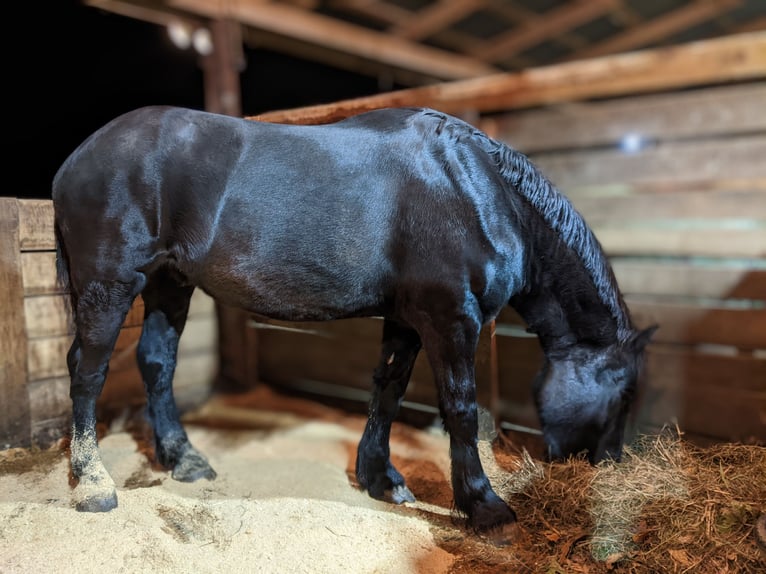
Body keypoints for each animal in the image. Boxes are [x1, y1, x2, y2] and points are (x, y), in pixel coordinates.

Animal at [52, 107, 656, 536]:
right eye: (625, 393)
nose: (608, 467)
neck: (474, 187)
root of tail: (75, 159)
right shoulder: (450, 318)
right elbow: (460, 409)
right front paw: (484, 506)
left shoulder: (408, 319)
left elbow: (387, 391)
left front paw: (379, 478)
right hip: (110, 285)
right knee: (87, 371)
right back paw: (93, 484)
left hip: (169, 284)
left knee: (156, 362)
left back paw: (183, 458)